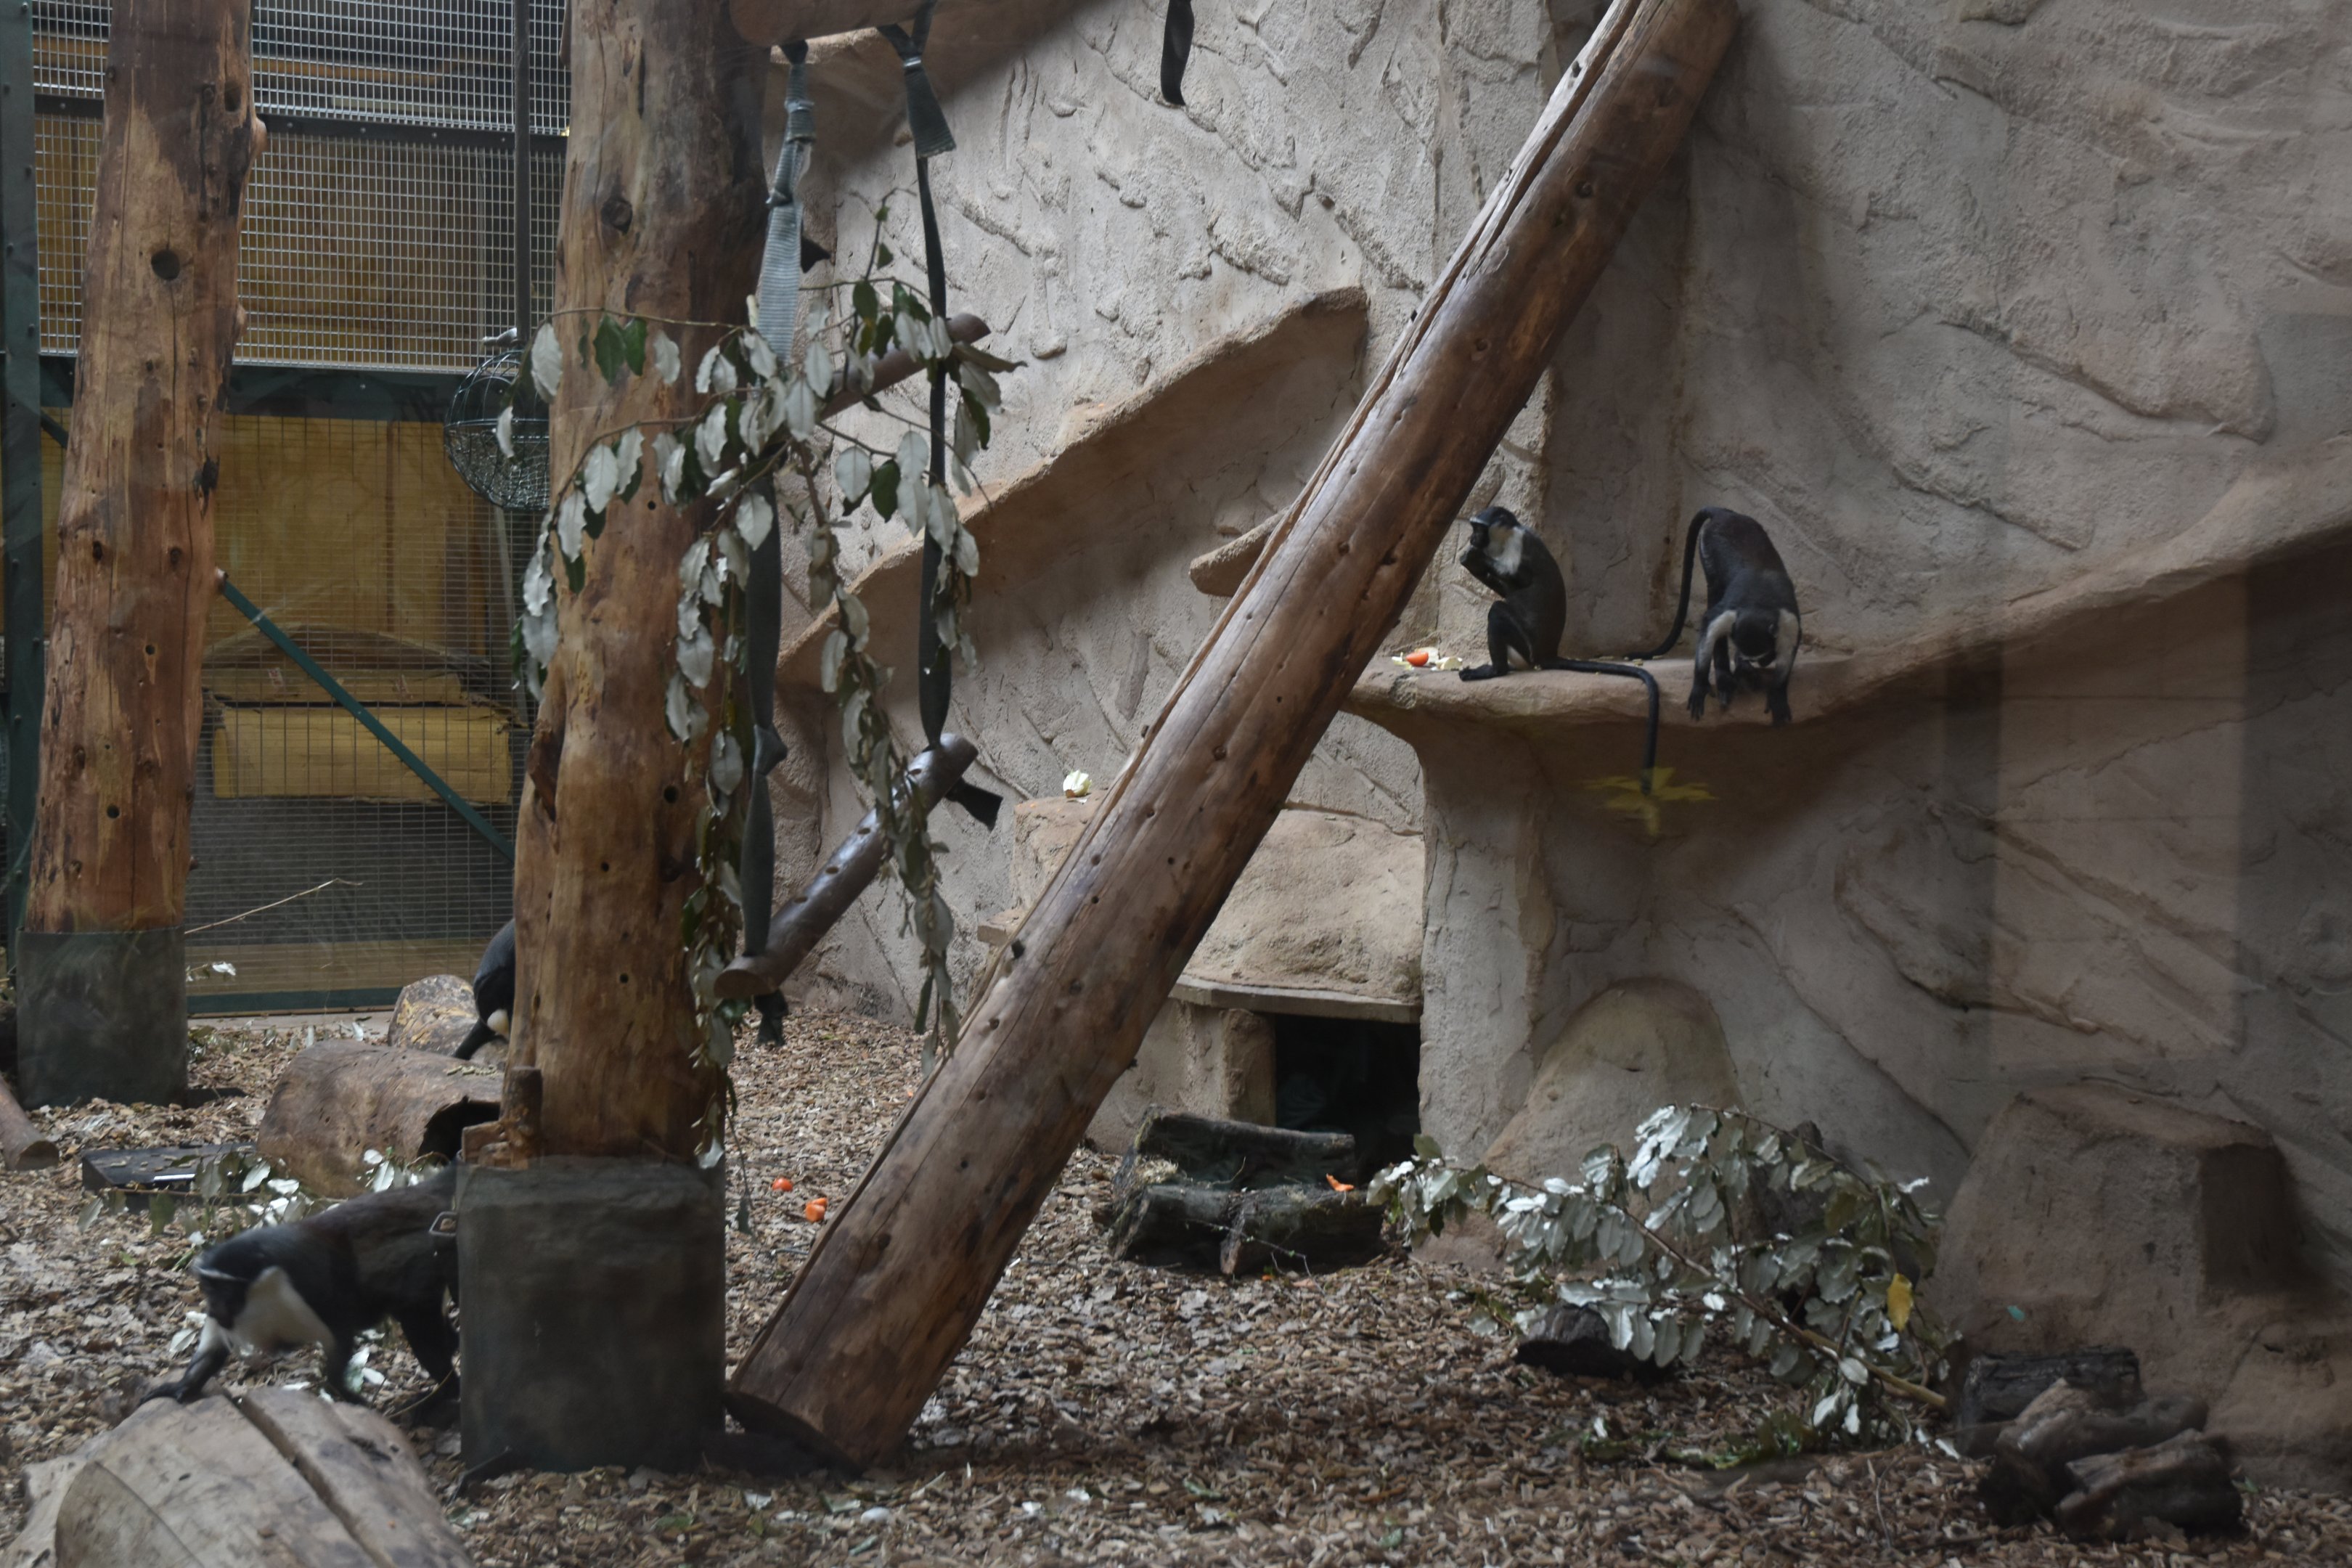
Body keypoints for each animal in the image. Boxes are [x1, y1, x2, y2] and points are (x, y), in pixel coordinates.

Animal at [143, 1166, 460, 1416]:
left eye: (226, 1290)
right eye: (208, 1288)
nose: (214, 1307)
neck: (264, 1291)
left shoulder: (307, 1286)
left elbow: (339, 1335)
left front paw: (349, 1395)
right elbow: (213, 1350)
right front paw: (182, 1386)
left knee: (419, 1325)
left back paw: (445, 1391)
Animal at [1632, 507, 1802, 725]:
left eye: (1765, 654)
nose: (1764, 662)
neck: (1759, 604)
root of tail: (1724, 513)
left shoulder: (1789, 621)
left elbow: (1788, 650)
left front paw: (1777, 693)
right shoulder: (1730, 613)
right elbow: (1709, 624)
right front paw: (1701, 684)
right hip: (1708, 549)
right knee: (1714, 588)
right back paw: (1725, 677)